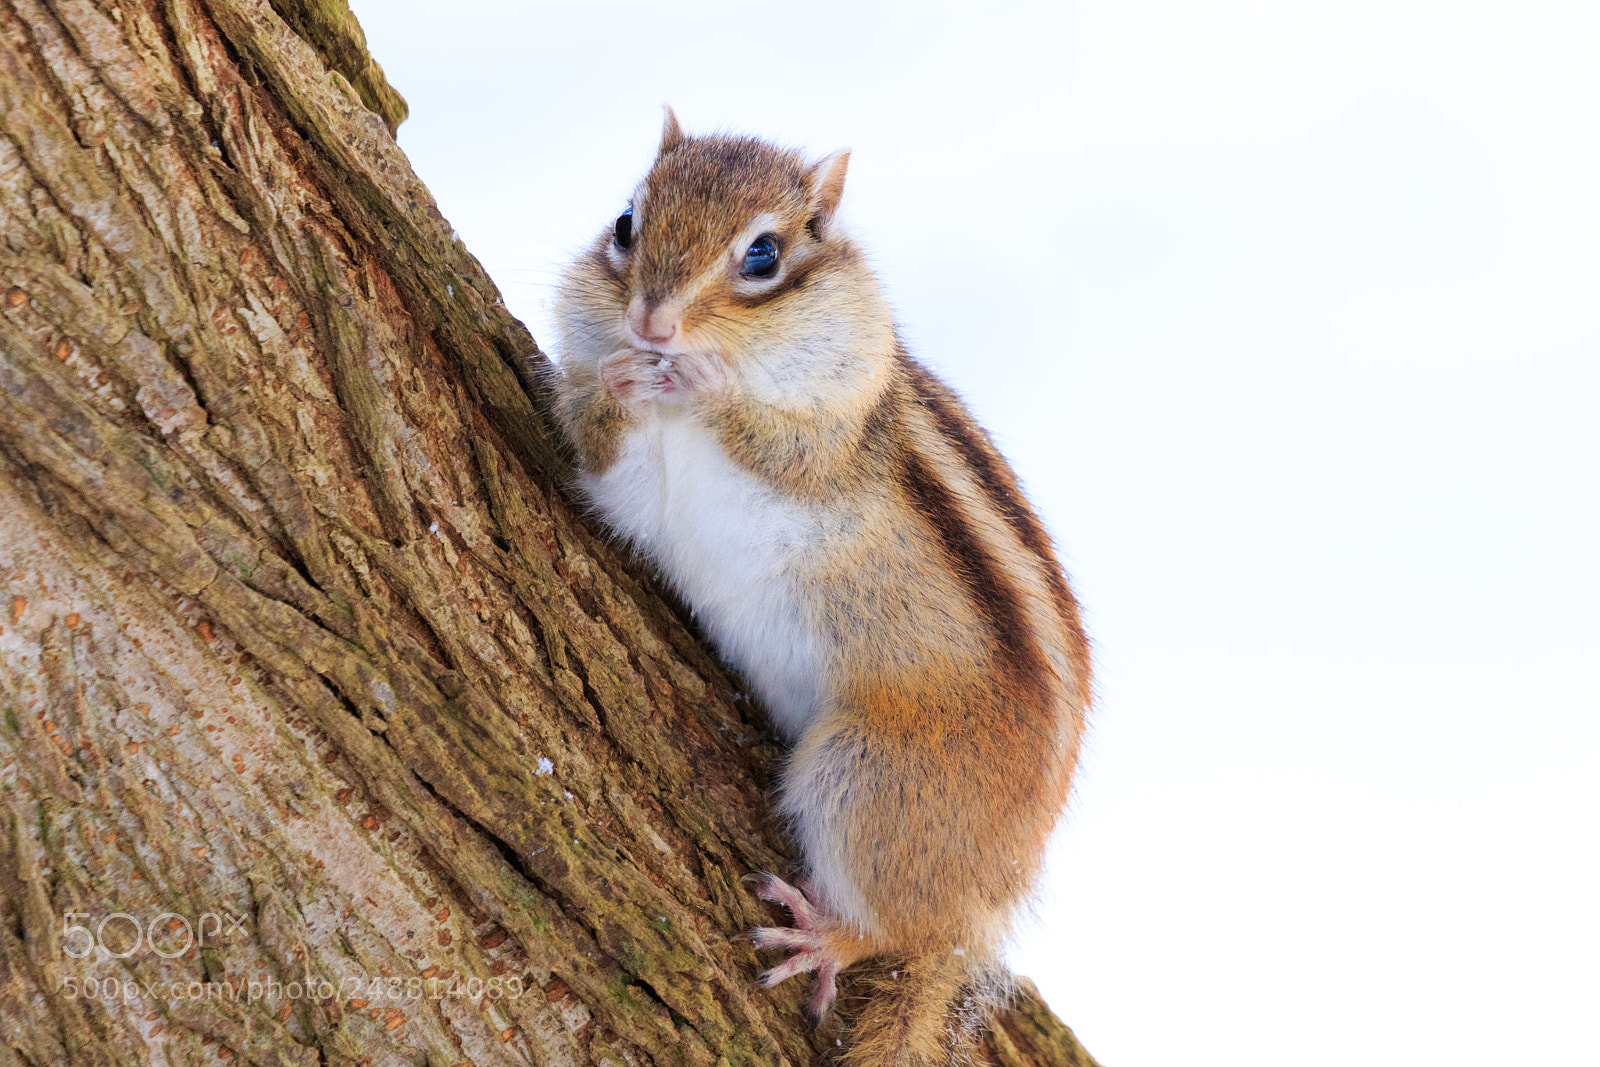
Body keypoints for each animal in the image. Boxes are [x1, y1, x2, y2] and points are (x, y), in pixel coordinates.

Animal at [549, 108, 1092, 1064]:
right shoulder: (615, 452)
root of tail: (986, 901)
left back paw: (827, 934)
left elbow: (778, 443)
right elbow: (596, 432)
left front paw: (710, 382)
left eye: (763, 255)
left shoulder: (838, 428)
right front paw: (620, 379)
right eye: (625, 223)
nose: (652, 321)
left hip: (868, 778)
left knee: (894, 925)